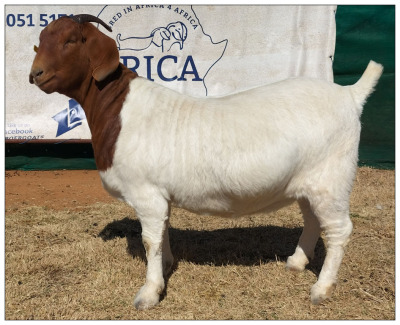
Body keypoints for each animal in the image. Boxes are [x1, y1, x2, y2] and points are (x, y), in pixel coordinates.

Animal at [29, 15, 382, 308]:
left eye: (71, 40)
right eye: (41, 39)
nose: (35, 74)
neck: (118, 111)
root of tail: (350, 94)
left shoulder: (146, 192)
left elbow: (150, 240)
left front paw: (149, 293)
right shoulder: (160, 195)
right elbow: (163, 233)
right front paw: (167, 266)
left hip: (332, 179)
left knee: (339, 229)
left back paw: (321, 289)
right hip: (308, 182)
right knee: (313, 220)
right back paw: (296, 263)